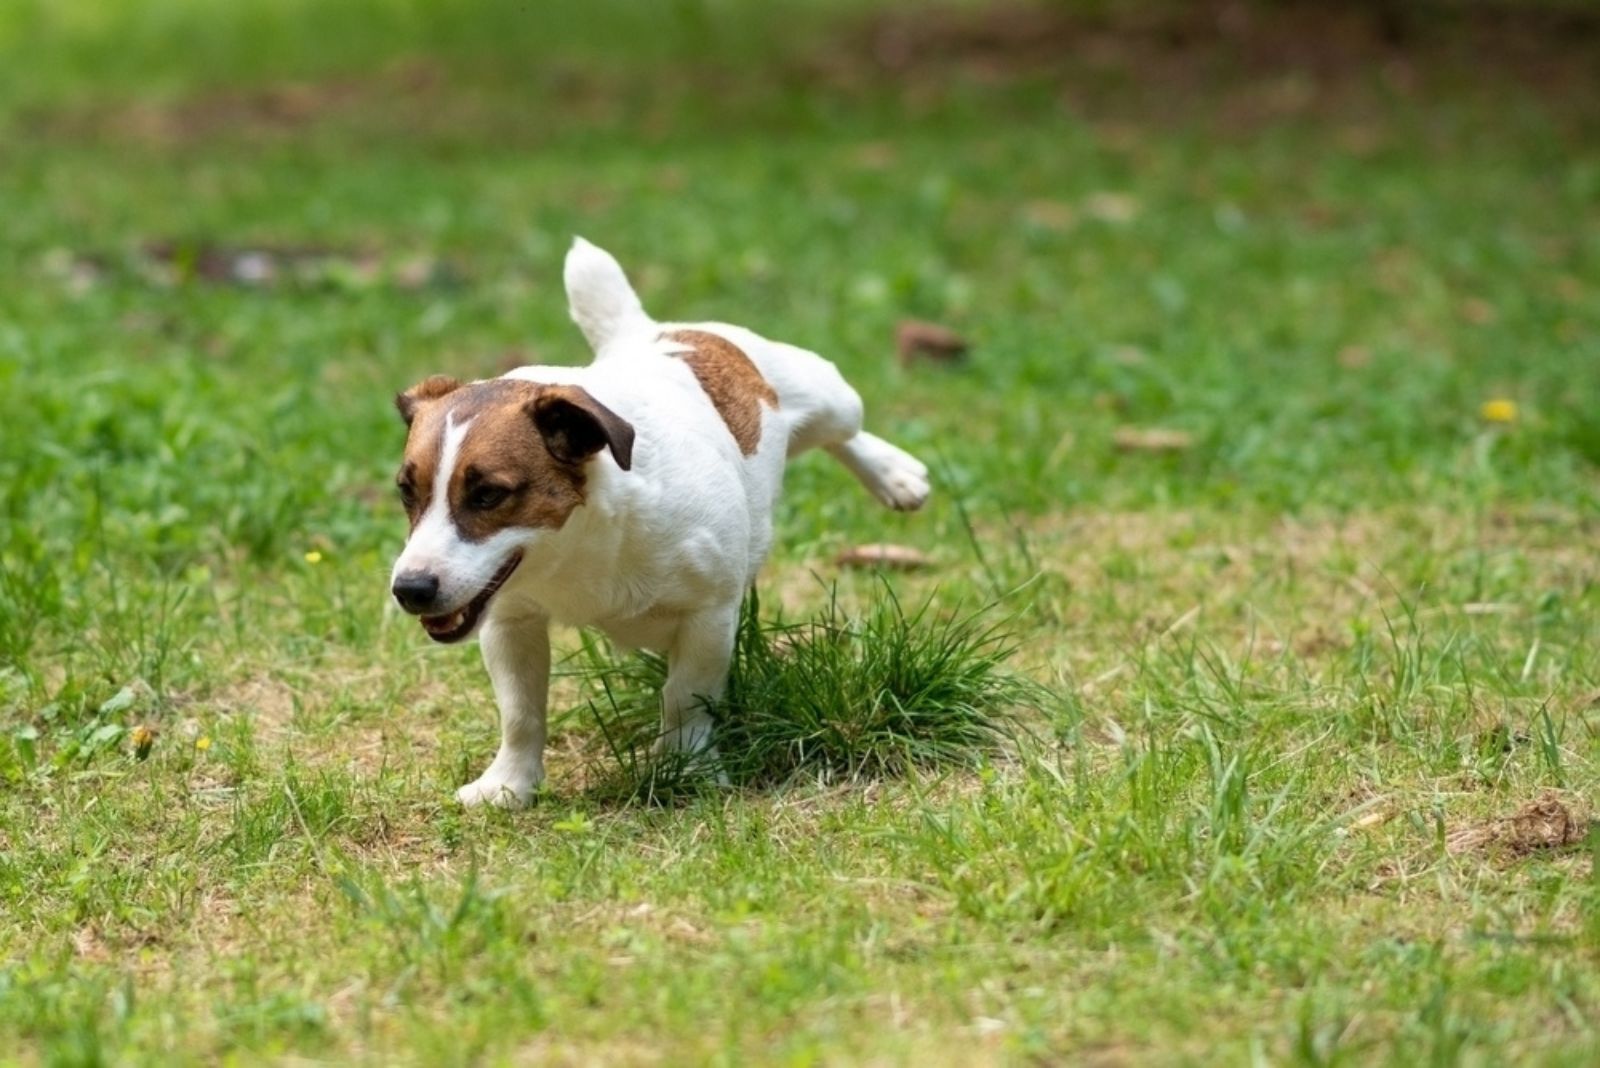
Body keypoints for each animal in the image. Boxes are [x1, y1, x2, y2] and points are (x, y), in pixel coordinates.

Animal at [388, 241, 934, 805]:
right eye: (406, 492)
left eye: (489, 495)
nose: (410, 589)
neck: (581, 541)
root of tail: (649, 332)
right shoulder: (510, 621)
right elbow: (520, 712)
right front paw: (509, 784)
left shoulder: (708, 616)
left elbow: (685, 698)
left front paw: (685, 767)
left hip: (827, 395)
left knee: (844, 430)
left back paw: (893, 474)